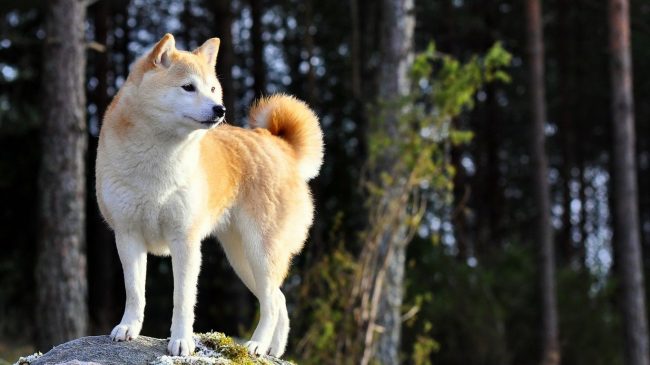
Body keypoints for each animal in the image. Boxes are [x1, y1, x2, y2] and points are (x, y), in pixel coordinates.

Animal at [95, 32, 322, 356]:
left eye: (213, 88)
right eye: (188, 87)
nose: (220, 109)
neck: (158, 161)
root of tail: (281, 147)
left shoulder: (185, 240)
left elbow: (182, 299)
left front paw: (181, 341)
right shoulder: (128, 236)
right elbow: (135, 292)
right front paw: (129, 328)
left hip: (262, 251)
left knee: (271, 303)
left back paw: (256, 345)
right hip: (242, 258)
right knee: (278, 299)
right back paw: (274, 349)